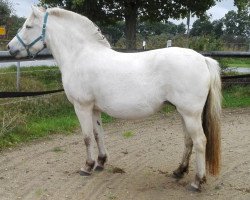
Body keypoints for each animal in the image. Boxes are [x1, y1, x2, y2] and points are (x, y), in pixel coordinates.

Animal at [7, 6, 222, 191]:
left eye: (28, 26)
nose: (10, 48)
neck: (79, 55)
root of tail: (203, 59)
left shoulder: (81, 106)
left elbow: (86, 137)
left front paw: (87, 166)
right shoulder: (94, 108)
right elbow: (98, 135)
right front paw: (101, 162)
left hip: (190, 114)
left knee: (200, 141)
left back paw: (197, 182)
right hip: (183, 113)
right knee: (188, 141)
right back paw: (179, 171)